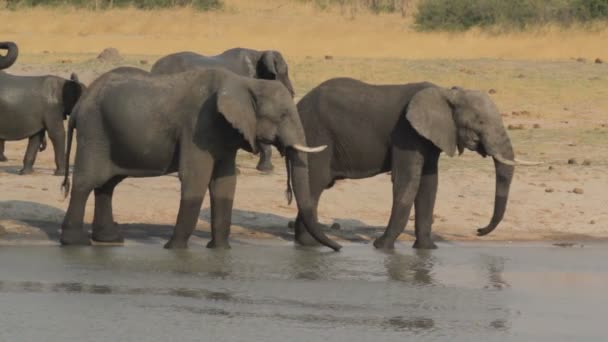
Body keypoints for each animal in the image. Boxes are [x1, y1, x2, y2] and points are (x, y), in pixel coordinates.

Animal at [0, 41, 86, 175]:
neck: (66, 83)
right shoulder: (52, 108)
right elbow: (57, 134)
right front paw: (60, 174)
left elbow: (36, 137)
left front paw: (26, 173)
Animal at [60, 66, 342, 251]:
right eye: (283, 115)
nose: (338, 249)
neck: (244, 83)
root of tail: (80, 103)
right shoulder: (198, 126)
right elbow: (196, 179)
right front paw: (174, 249)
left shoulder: (226, 132)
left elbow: (225, 183)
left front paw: (220, 251)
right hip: (94, 131)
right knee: (86, 182)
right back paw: (76, 243)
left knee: (107, 184)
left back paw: (110, 240)